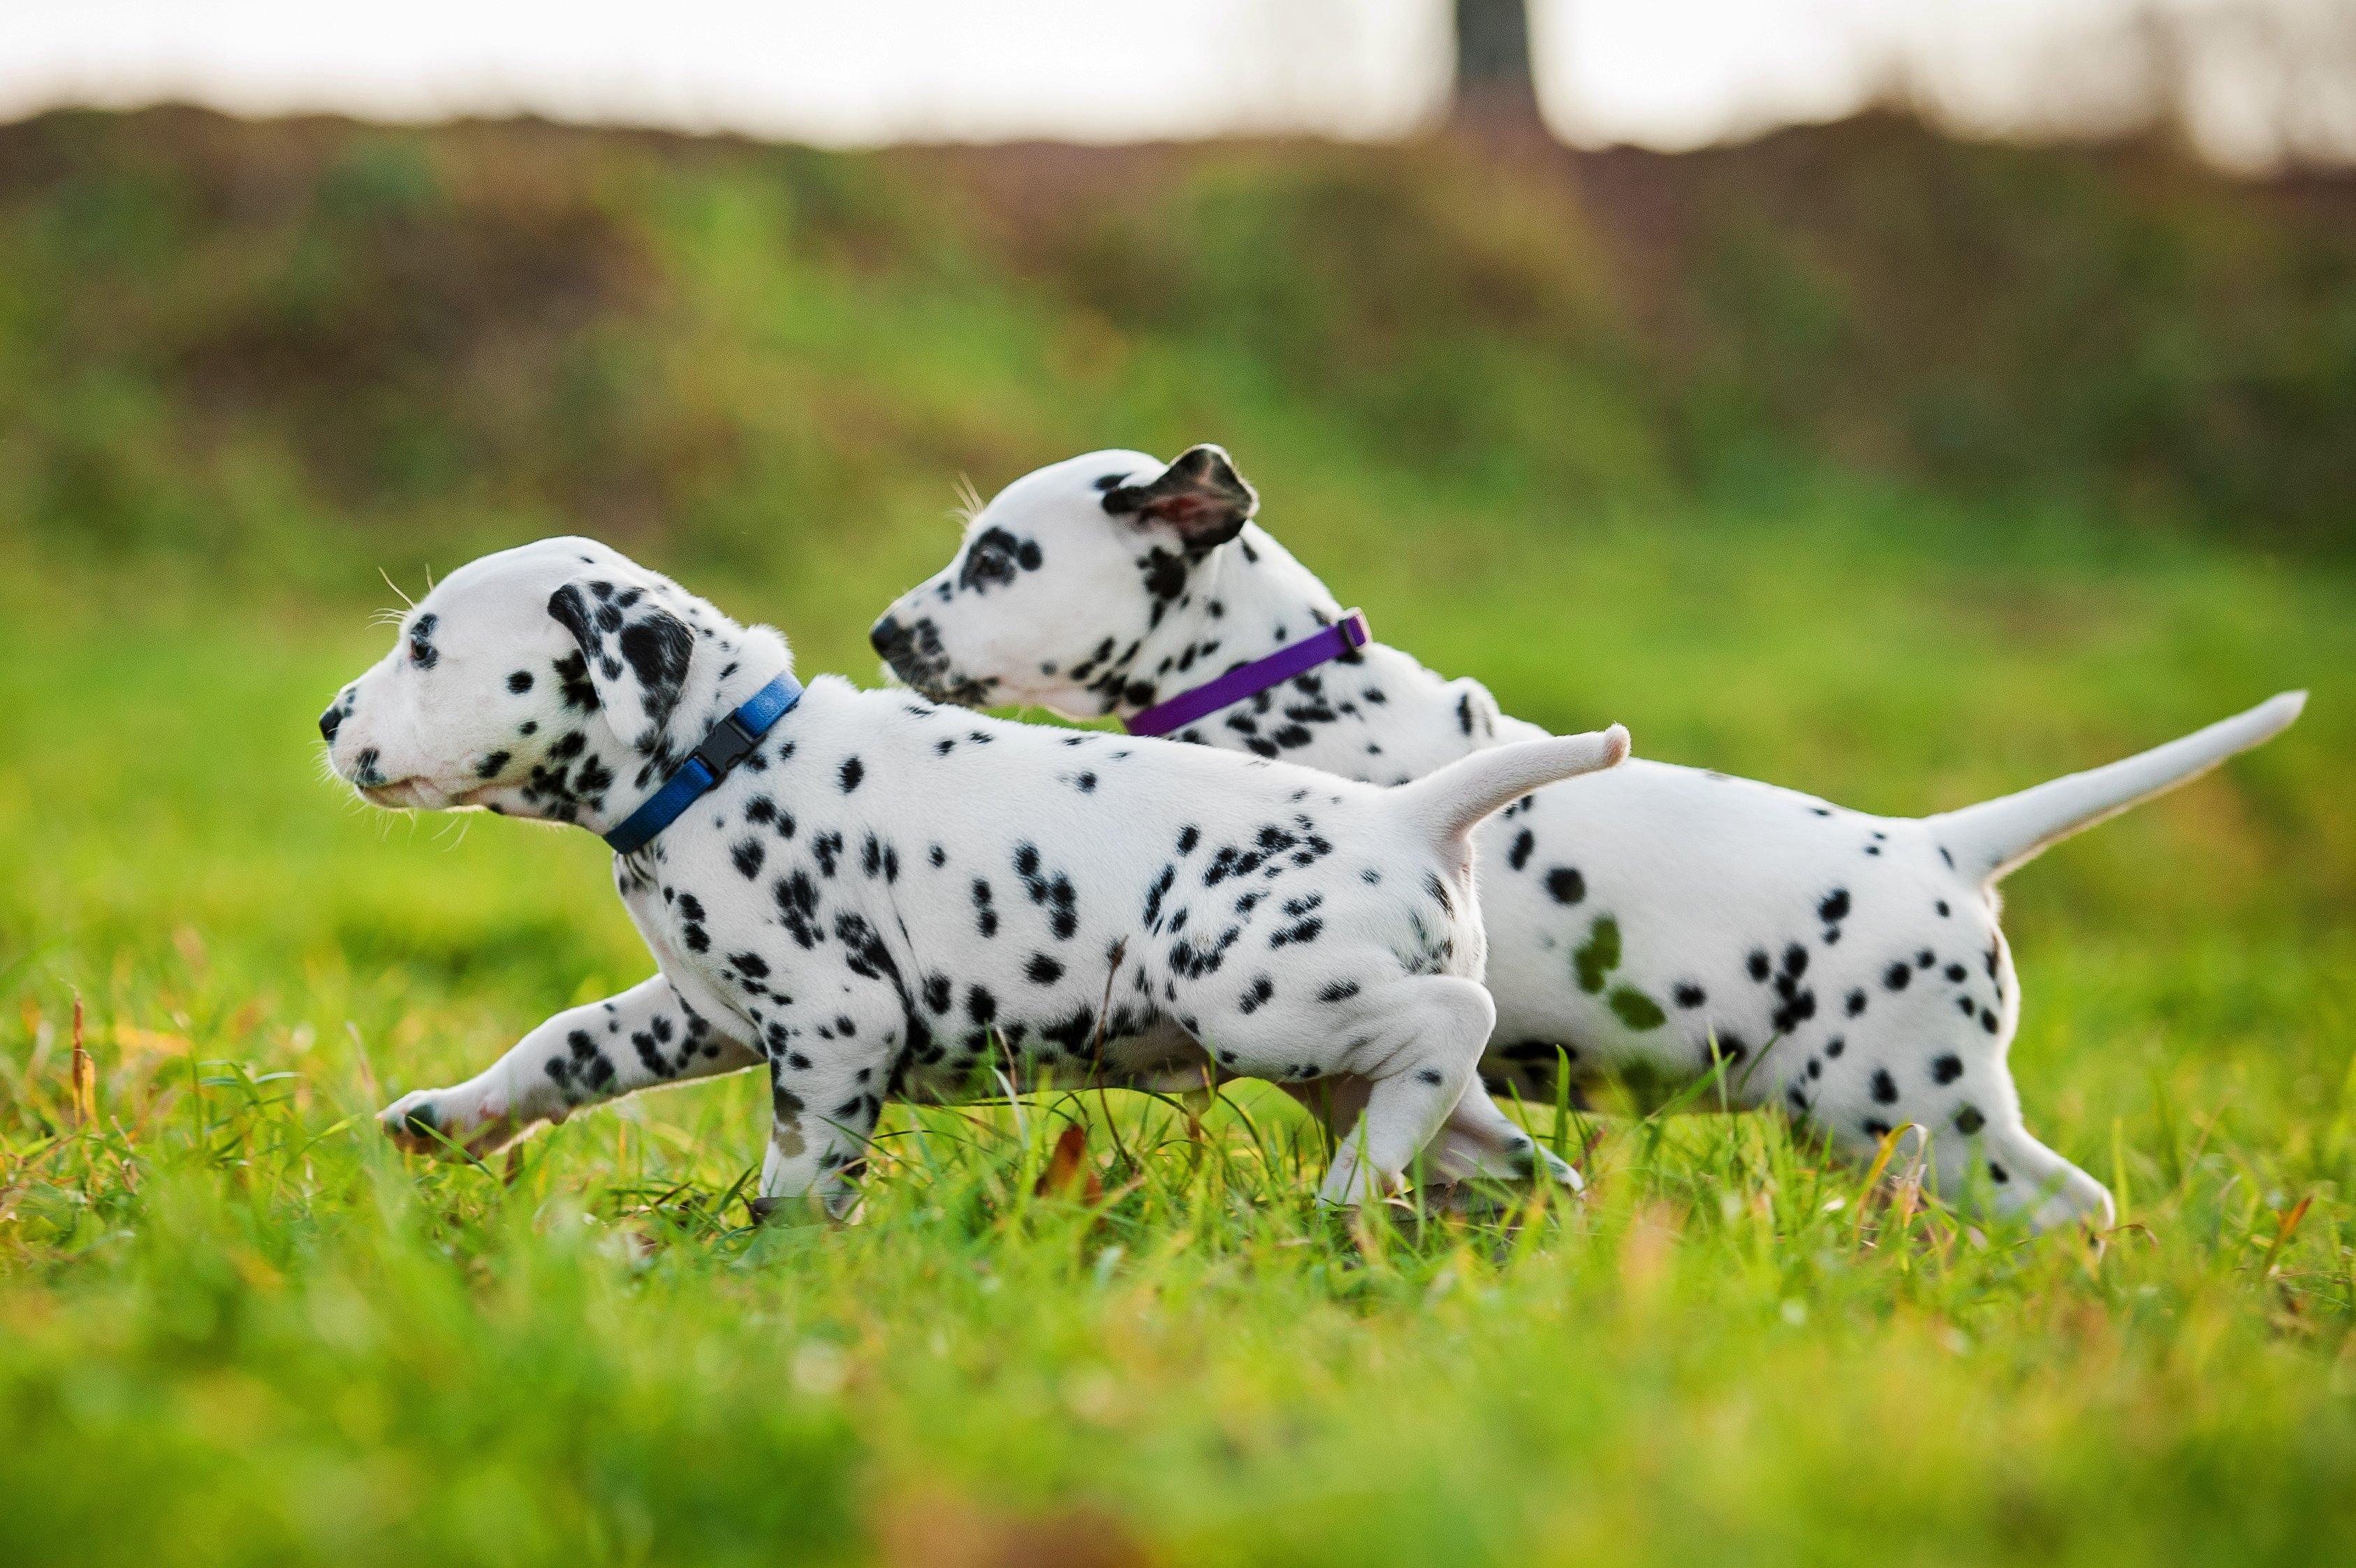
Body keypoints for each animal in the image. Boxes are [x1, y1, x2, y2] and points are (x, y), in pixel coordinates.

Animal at [323, 532, 1630, 1201]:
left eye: (426, 648)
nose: (330, 720)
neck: (725, 752)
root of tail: (1413, 817)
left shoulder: (831, 1022)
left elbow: (800, 1171)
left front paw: (767, 1265)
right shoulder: (695, 1012)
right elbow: (560, 1045)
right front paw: (445, 1125)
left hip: (1259, 998)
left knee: (1454, 1020)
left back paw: (1354, 1189)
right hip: (1347, 1065)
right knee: (1504, 1146)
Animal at [867, 440, 2299, 1224]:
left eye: (996, 561)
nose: (884, 633)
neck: (1280, 694)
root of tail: (1941, 846)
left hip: (1919, 1106)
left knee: (2076, 1207)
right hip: (1884, 1128)